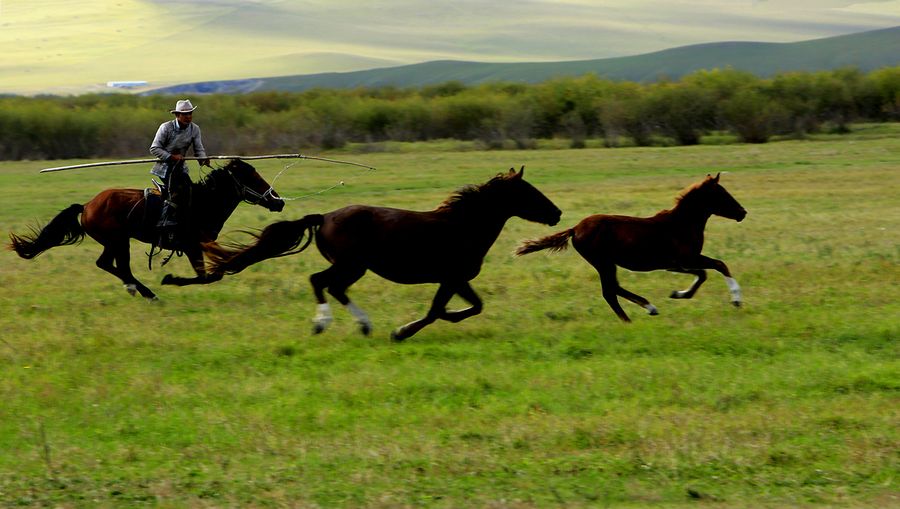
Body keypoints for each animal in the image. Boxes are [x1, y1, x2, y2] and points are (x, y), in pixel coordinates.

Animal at [8, 161, 284, 300]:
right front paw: (171, 279)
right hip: (117, 240)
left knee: (114, 265)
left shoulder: (197, 246)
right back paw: (145, 292)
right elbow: (208, 277)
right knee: (110, 264)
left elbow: (211, 275)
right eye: (254, 178)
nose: (279, 201)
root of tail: (86, 205)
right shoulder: (192, 246)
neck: (203, 203)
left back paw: (136, 289)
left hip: (119, 241)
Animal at [205, 168, 564, 342]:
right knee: (321, 282)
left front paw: (447, 317)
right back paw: (325, 323)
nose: (557, 213)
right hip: (351, 265)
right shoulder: (450, 279)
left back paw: (362, 325)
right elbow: (436, 311)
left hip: (353, 267)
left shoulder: (458, 279)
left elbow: (474, 307)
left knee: (333, 288)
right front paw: (401, 332)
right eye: (530, 192)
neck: (462, 225)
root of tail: (324, 217)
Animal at [512, 173, 744, 320]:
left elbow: (703, 273)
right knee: (609, 291)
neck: (681, 223)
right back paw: (640, 314)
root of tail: (575, 228)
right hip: (603, 262)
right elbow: (719, 265)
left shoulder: (676, 264)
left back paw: (643, 311)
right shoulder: (686, 259)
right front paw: (736, 300)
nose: (743, 212)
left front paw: (679, 294)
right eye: (723, 194)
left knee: (612, 289)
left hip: (606, 264)